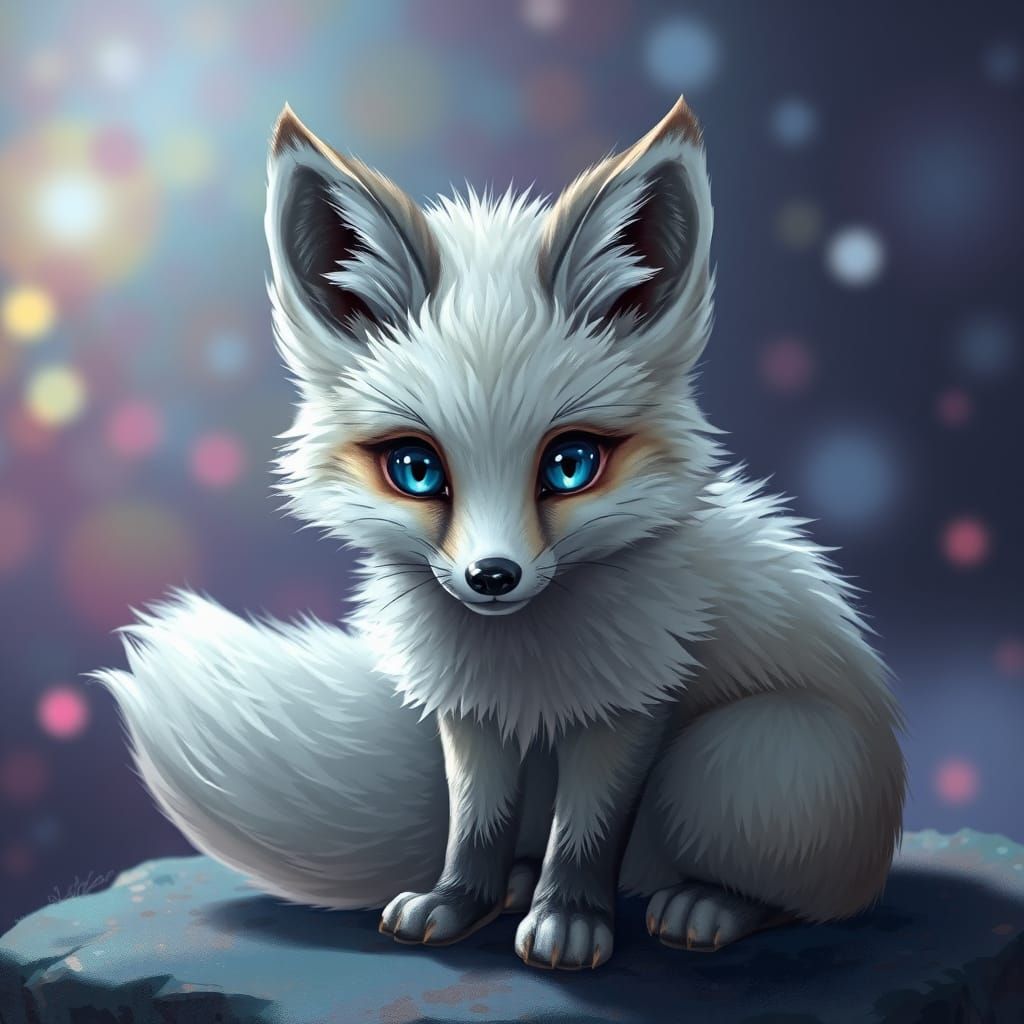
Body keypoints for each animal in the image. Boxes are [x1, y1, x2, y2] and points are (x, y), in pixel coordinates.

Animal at [94, 96, 907, 971]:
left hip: (732, 762)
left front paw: (569, 919)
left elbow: (586, 834)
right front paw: (460, 901)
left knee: (815, 898)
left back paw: (708, 905)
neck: (520, 668)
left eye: (572, 464)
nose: (492, 577)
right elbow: (474, 821)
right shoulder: (470, 713)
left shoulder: (631, 705)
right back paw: (523, 882)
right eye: (416, 469)